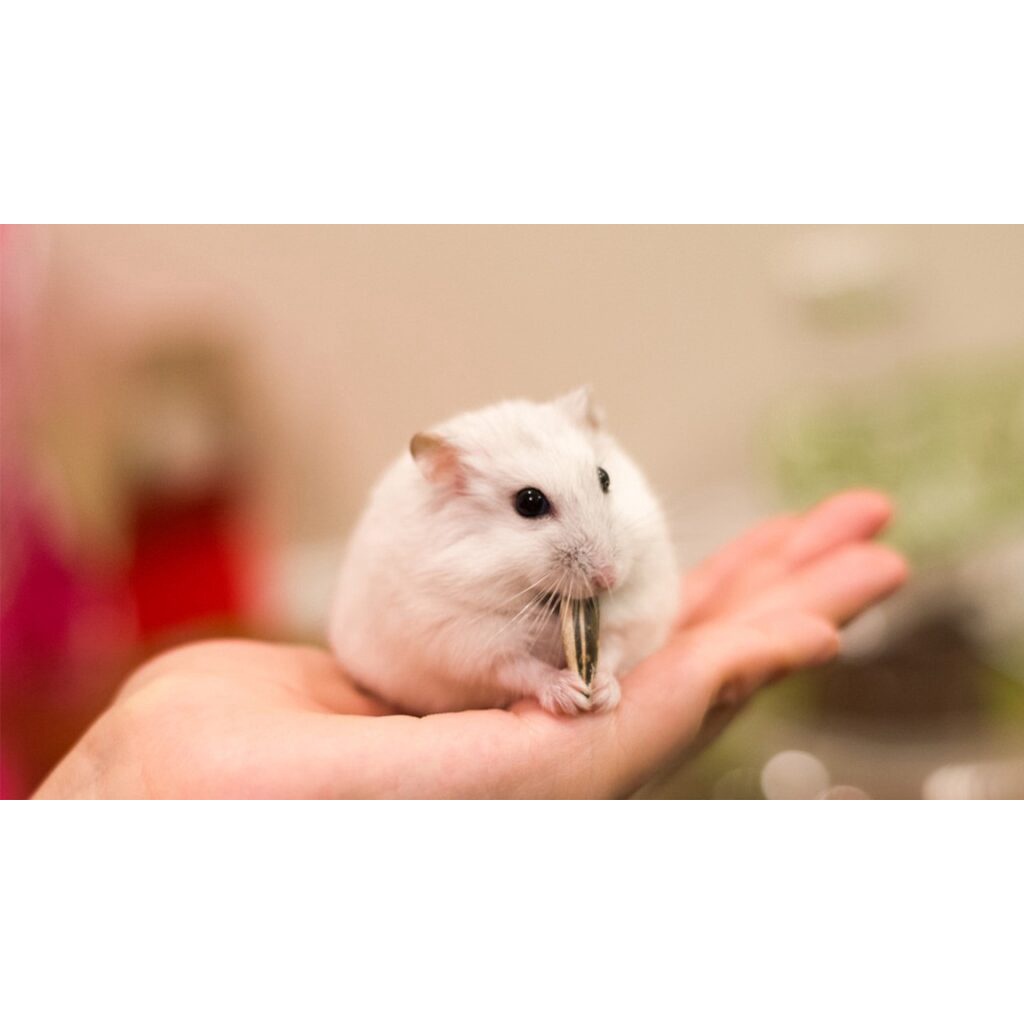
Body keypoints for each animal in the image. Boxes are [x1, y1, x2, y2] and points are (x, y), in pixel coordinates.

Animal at [327, 387, 678, 715]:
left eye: (604, 477)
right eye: (529, 502)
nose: (609, 578)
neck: (545, 601)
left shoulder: (634, 617)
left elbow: (614, 650)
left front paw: (603, 695)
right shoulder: (472, 645)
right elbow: (520, 669)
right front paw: (571, 694)